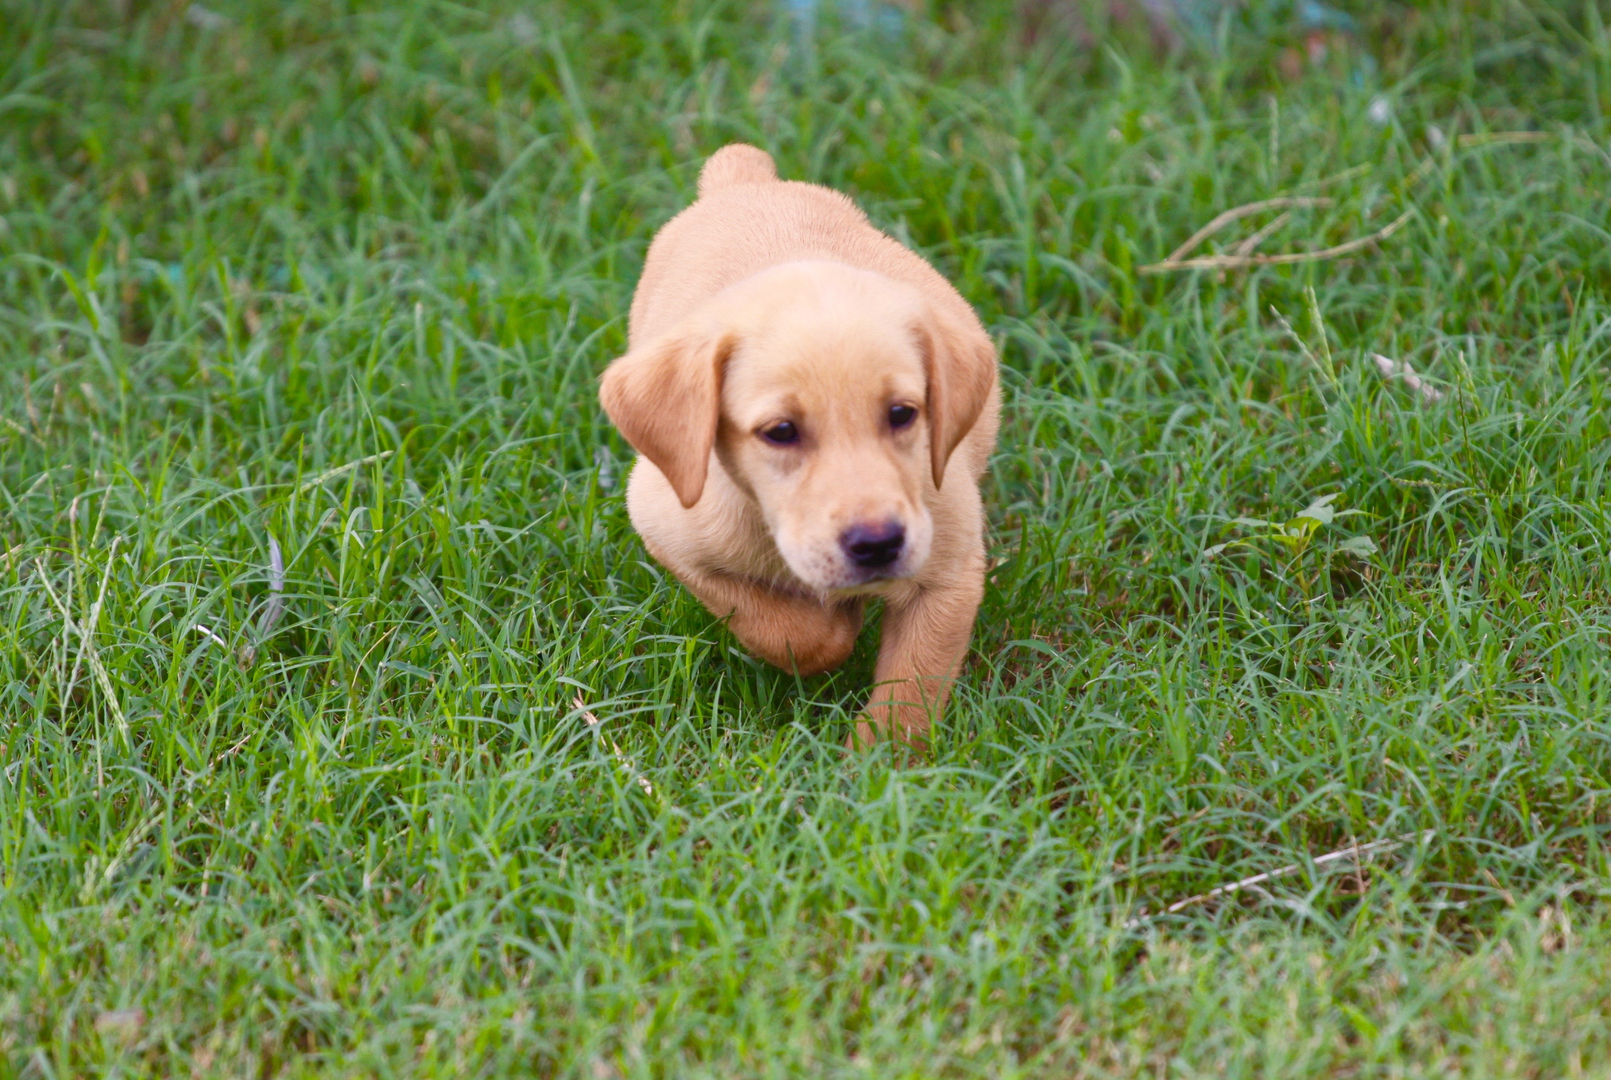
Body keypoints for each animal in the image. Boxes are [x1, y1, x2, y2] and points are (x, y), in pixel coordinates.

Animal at [602, 145, 992, 754]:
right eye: (781, 431)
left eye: (902, 414)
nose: (878, 545)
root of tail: (744, 181)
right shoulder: (669, 525)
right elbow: (783, 628)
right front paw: (835, 627)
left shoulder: (948, 572)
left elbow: (911, 690)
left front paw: (880, 765)